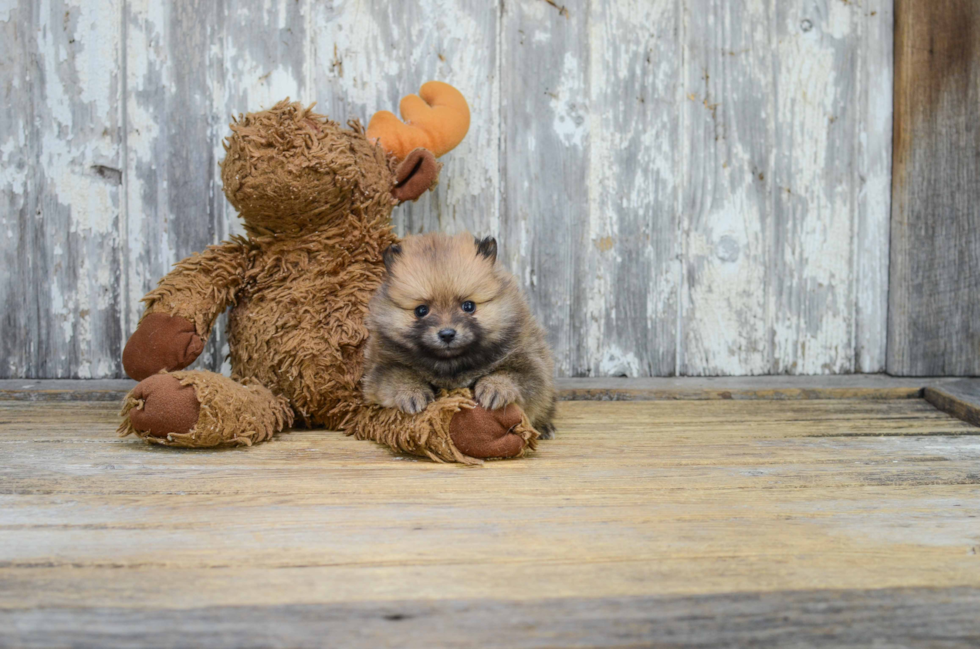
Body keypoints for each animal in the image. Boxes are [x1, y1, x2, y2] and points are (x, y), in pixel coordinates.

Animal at [362, 230, 560, 438]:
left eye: (468, 306)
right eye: (421, 310)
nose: (447, 334)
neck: (452, 364)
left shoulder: (529, 362)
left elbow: (511, 374)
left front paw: (495, 388)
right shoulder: (381, 366)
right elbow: (398, 375)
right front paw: (411, 392)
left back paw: (544, 427)